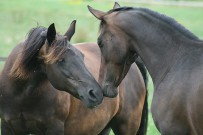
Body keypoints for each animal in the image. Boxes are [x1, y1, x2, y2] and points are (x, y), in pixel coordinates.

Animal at [0, 20, 147, 134]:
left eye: (82, 57)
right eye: (60, 60)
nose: (96, 93)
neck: (22, 95)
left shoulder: (55, 128)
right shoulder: (7, 127)